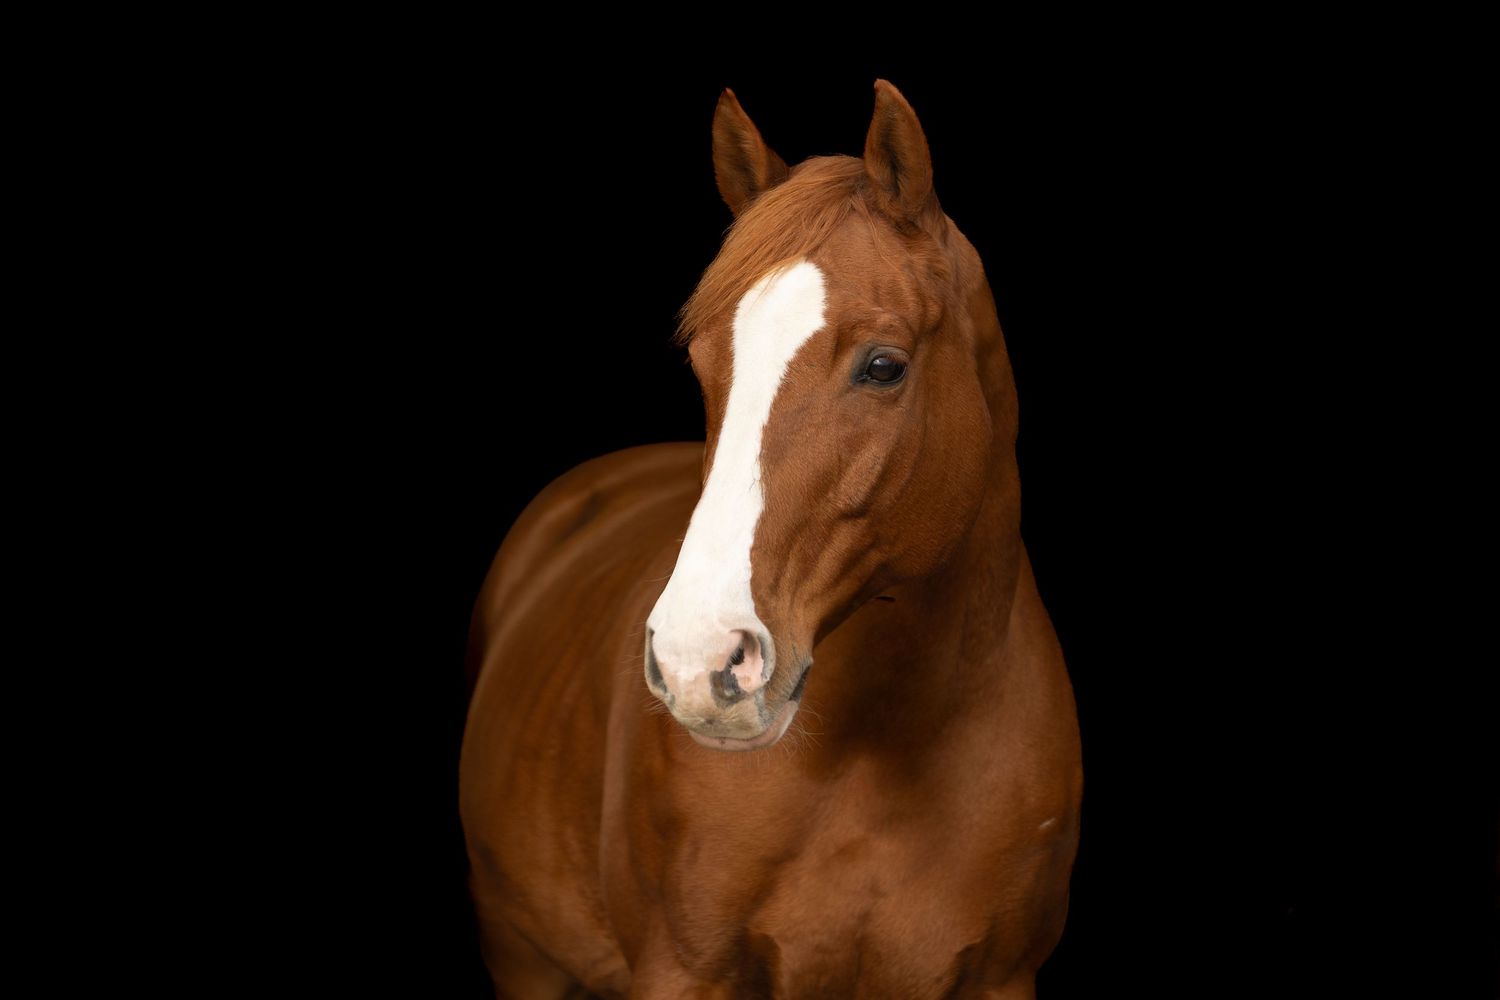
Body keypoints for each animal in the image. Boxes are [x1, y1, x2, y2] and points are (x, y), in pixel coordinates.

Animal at [460, 80, 1082, 999]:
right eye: (702, 361)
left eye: (884, 366)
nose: (697, 660)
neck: (886, 748)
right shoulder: (682, 972)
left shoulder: (999, 978)